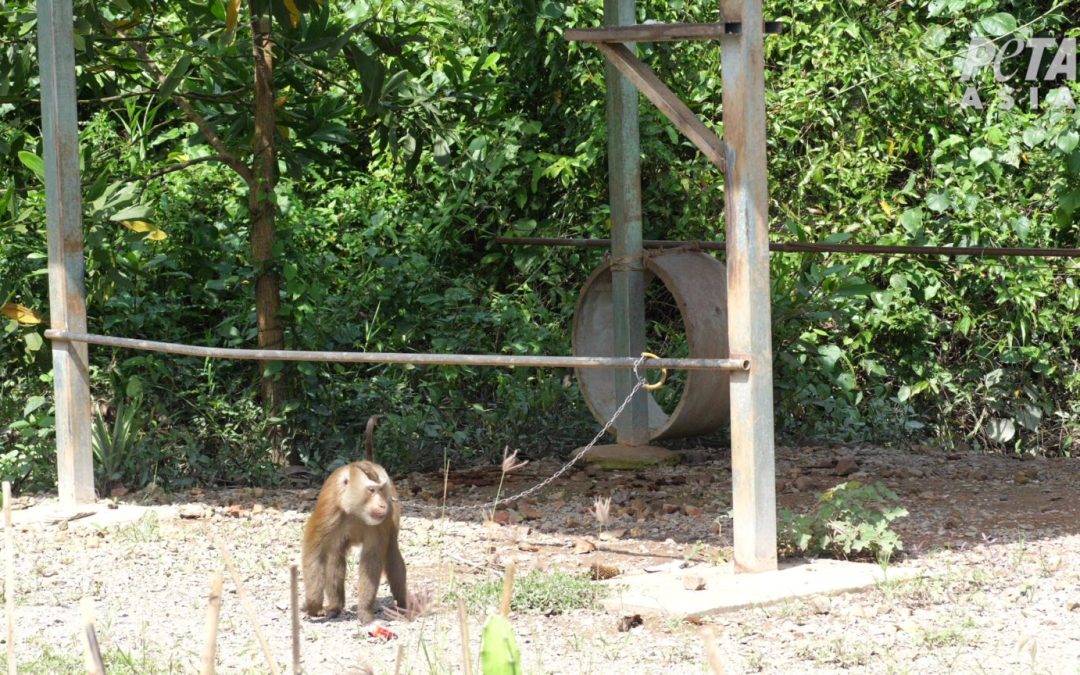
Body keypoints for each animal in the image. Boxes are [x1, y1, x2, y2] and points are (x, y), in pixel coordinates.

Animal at [302, 412, 406, 622]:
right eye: (371, 490)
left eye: (382, 489)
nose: (383, 504)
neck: (356, 510)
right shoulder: (329, 509)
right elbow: (315, 552)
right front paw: (313, 604)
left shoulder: (383, 520)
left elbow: (372, 559)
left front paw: (365, 611)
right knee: (335, 554)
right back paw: (335, 607)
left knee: (392, 552)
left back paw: (403, 606)